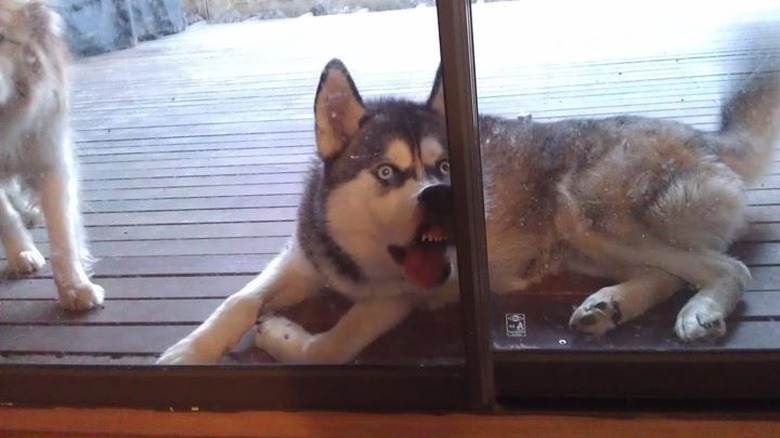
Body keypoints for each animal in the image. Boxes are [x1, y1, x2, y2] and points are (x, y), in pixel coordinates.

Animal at [0, 0, 103, 310]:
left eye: (2, 37)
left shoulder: (51, 158)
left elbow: (62, 233)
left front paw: (75, 288)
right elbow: (5, 216)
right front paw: (20, 252)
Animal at [155, 51, 776, 364]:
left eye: (446, 167)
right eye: (387, 172)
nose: (439, 196)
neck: (356, 263)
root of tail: (705, 138)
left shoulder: (395, 299)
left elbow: (330, 347)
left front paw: (278, 337)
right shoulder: (301, 258)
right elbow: (237, 302)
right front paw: (189, 351)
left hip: (587, 215)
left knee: (727, 266)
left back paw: (700, 310)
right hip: (581, 244)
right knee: (666, 270)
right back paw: (609, 306)